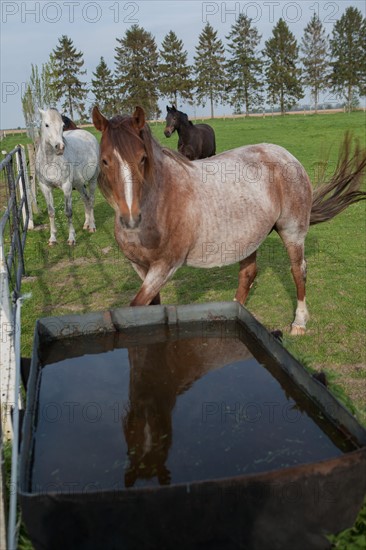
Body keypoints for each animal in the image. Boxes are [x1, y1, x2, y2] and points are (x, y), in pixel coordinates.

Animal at [36, 108, 99, 246]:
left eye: (62, 126)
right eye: (46, 125)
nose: (60, 147)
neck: (50, 161)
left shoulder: (66, 187)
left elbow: (68, 212)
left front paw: (71, 238)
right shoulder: (45, 188)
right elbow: (51, 212)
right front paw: (52, 238)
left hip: (93, 180)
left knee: (91, 200)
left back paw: (92, 226)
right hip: (79, 184)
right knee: (85, 199)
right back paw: (86, 224)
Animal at [92, 104, 366, 336]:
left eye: (142, 158)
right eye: (104, 160)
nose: (130, 219)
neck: (161, 200)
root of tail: (286, 155)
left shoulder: (164, 267)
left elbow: (137, 304)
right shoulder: (141, 267)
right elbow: (149, 307)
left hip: (292, 232)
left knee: (298, 271)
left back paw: (299, 322)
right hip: (249, 237)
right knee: (248, 274)